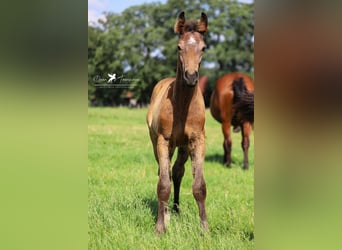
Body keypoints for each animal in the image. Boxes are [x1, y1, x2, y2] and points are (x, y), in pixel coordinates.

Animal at [145, 11, 207, 234]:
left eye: (203, 47)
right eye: (179, 47)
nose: (191, 77)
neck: (182, 105)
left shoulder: (197, 141)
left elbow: (199, 186)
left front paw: (205, 230)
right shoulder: (164, 141)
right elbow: (163, 184)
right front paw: (160, 228)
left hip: (183, 147)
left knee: (178, 172)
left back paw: (177, 208)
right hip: (158, 143)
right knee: (165, 173)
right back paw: (167, 213)